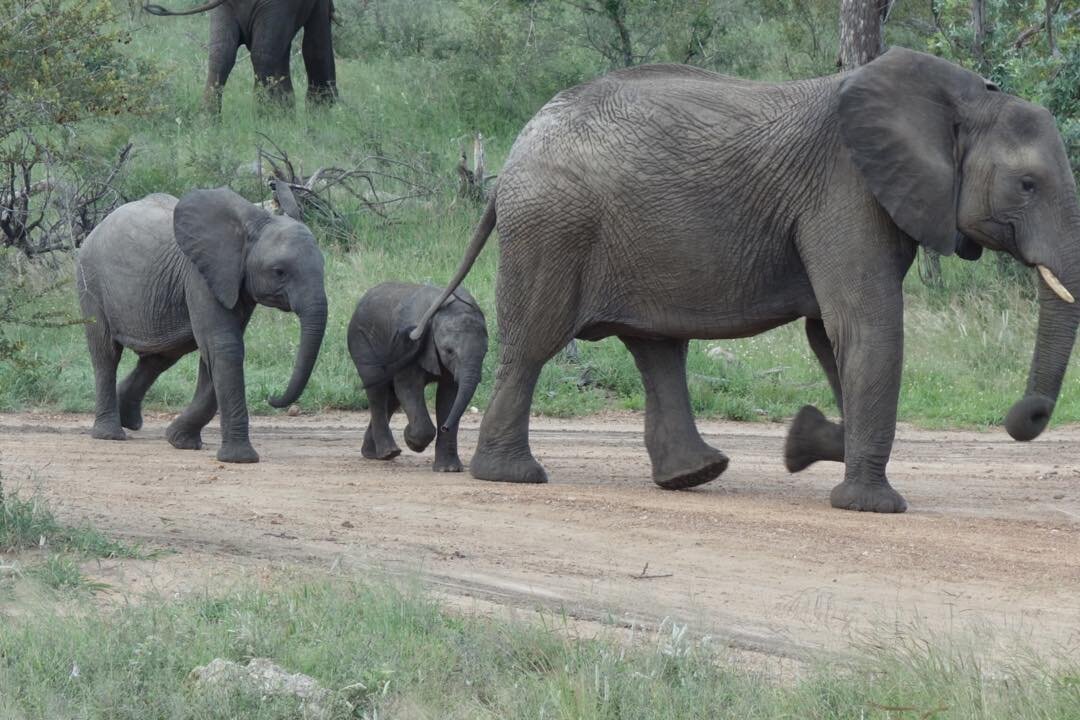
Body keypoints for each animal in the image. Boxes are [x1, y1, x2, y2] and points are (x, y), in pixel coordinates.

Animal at [78, 184, 326, 462]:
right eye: (279, 271)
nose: (271, 397)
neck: (251, 226)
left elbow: (214, 353)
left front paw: (179, 440)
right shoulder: (199, 275)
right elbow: (225, 346)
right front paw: (239, 459)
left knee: (160, 357)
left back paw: (129, 421)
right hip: (90, 280)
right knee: (106, 353)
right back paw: (110, 434)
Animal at [349, 280, 490, 472]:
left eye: (485, 352)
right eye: (449, 351)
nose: (445, 427)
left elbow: (449, 395)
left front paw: (448, 470)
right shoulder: (408, 345)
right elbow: (408, 387)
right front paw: (410, 439)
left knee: (392, 397)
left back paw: (372, 453)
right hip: (362, 340)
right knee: (377, 390)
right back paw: (388, 453)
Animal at [403, 47, 1080, 511]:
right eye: (1027, 185)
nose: (1024, 416)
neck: (962, 97)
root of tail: (515, 153)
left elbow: (831, 336)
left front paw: (803, 442)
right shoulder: (846, 190)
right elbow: (864, 326)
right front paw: (871, 505)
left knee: (657, 349)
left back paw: (694, 475)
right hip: (553, 226)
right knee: (536, 343)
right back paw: (514, 476)